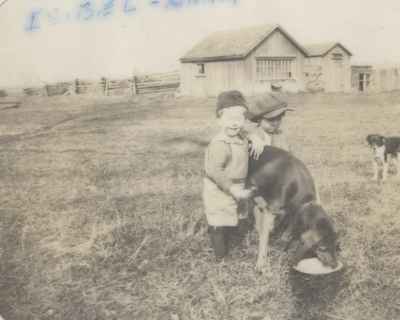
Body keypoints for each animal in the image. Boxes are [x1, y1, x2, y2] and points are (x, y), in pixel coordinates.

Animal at [247, 146, 338, 274]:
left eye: (335, 245)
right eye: (322, 248)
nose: (335, 265)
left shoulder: (293, 211)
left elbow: (289, 228)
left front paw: (283, 240)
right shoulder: (270, 211)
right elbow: (263, 242)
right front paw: (261, 264)